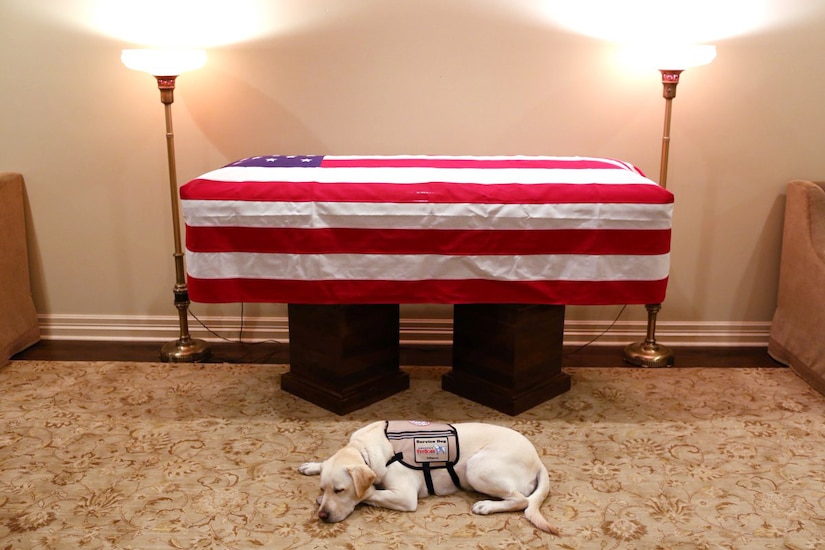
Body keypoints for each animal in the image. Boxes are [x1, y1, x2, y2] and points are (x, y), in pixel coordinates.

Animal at [298, 422, 560, 536]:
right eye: (324, 487)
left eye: (340, 490)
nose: (322, 516)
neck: (364, 449)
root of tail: (538, 459)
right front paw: (313, 466)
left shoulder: (404, 497)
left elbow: (369, 493)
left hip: (477, 468)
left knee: (521, 500)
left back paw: (486, 505)